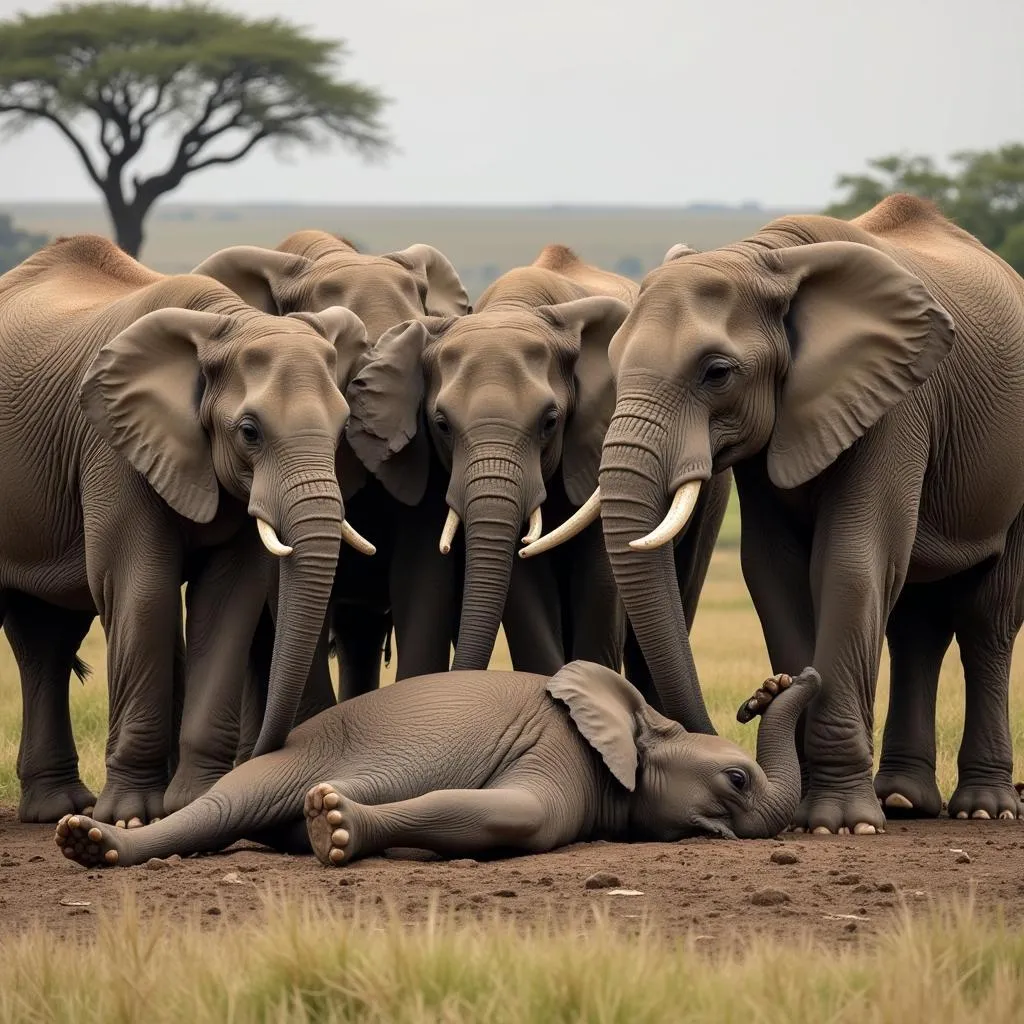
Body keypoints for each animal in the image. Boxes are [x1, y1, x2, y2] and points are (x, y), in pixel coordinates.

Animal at [0, 234, 374, 823]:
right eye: (249, 432)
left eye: (342, 428)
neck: (229, 322)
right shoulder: (112, 448)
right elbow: (143, 590)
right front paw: (130, 816)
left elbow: (227, 598)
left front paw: (198, 802)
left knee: (45, 636)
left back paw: (56, 807)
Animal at [54, 659, 823, 868]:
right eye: (737, 778)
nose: (786, 680)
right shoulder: (558, 746)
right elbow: (521, 817)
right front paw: (331, 820)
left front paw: (328, 824)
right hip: (305, 751)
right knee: (228, 804)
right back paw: (86, 843)